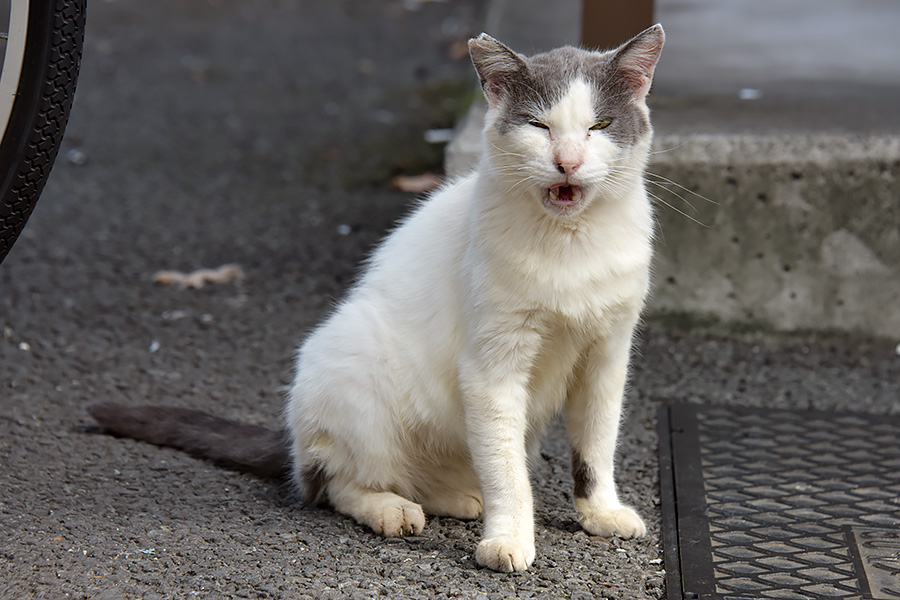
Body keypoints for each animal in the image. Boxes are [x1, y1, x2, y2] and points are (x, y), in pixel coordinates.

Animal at [93, 25, 668, 576]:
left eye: (599, 126)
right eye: (538, 125)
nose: (568, 162)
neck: (572, 244)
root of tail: (295, 441)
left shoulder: (607, 355)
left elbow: (595, 445)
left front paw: (600, 512)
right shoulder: (493, 366)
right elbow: (507, 473)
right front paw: (509, 538)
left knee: (451, 467)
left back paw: (463, 498)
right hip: (353, 361)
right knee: (337, 483)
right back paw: (392, 509)